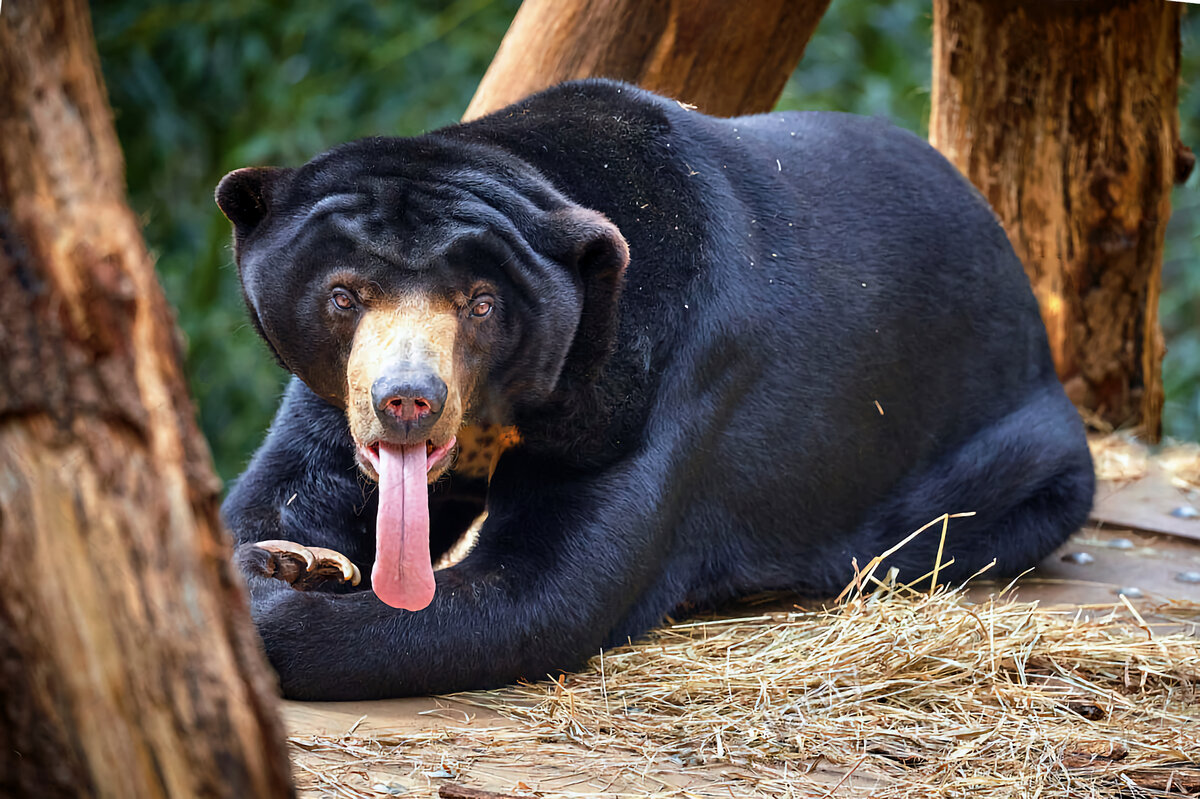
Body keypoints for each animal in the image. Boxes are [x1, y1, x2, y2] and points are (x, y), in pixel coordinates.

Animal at [216, 77, 1099, 695]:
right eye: (344, 294)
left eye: (482, 302)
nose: (408, 401)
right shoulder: (333, 392)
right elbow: (291, 487)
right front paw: (296, 556)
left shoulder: (650, 389)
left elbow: (541, 594)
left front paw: (274, 596)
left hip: (1022, 454)